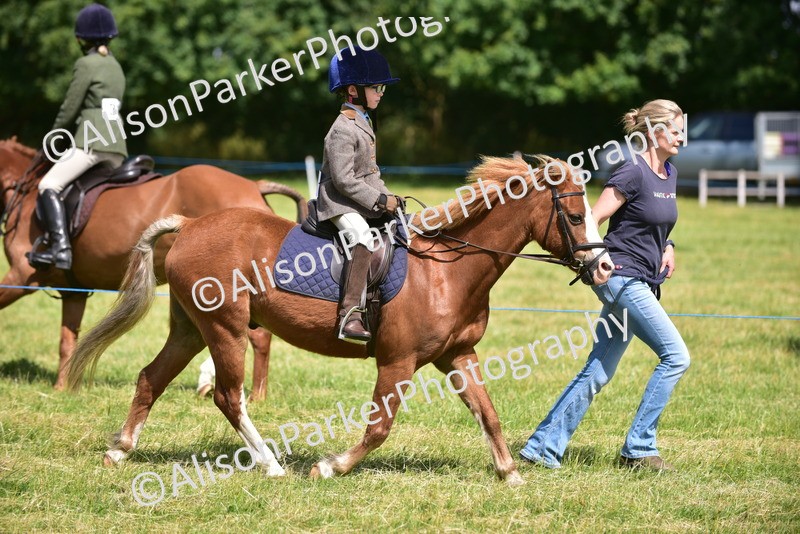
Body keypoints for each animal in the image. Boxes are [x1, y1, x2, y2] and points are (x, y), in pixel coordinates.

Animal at [0, 137, 304, 397]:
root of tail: (254, 186)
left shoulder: (21, 278)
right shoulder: (74, 291)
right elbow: (67, 341)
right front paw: (62, 387)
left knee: (258, 337)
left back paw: (253, 395)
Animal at [67, 154, 613, 485]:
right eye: (575, 215)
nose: (606, 267)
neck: (448, 271)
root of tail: (190, 224)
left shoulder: (459, 354)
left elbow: (488, 412)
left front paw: (509, 473)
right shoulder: (397, 362)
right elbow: (379, 428)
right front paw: (330, 467)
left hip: (190, 329)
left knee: (151, 378)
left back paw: (120, 450)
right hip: (225, 330)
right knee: (227, 396)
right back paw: (271, 464)